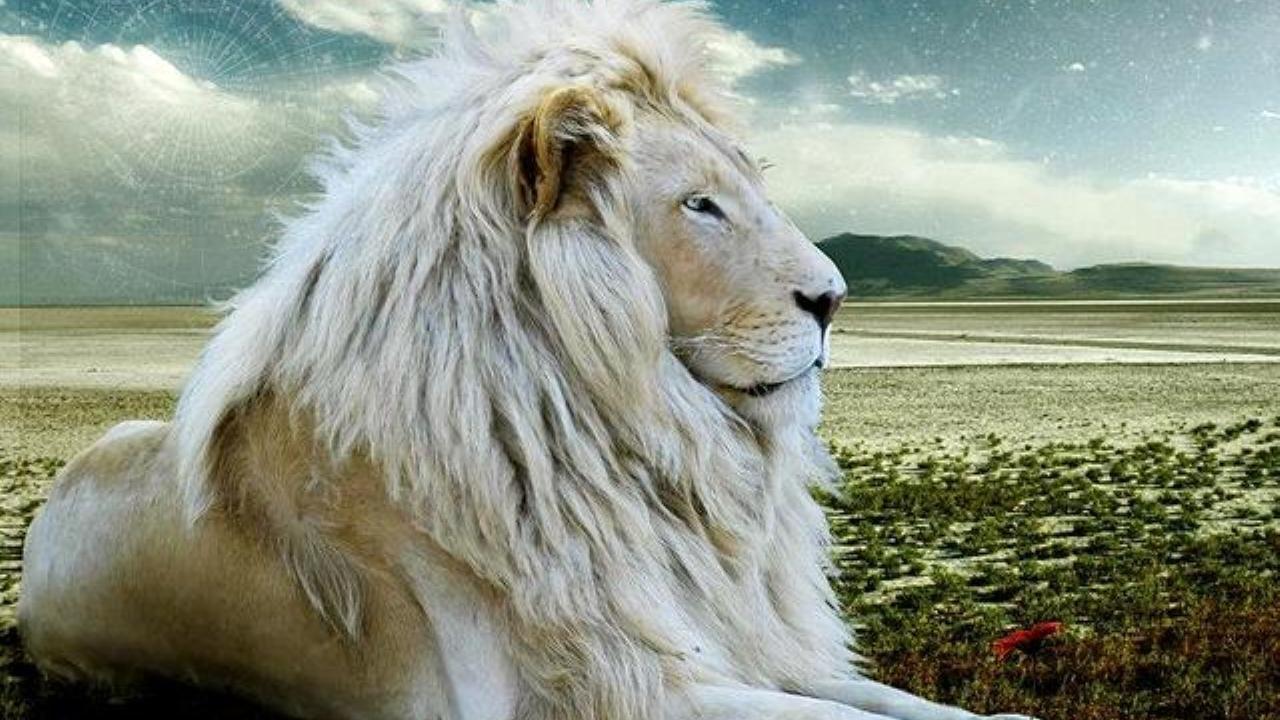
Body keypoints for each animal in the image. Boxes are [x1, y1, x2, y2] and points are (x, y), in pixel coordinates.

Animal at [18, 2, 1034, 719]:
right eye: (700, 204)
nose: (835, 300)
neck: (642, 444)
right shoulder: (584, 684)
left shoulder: (729, 643)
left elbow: (907, 705)